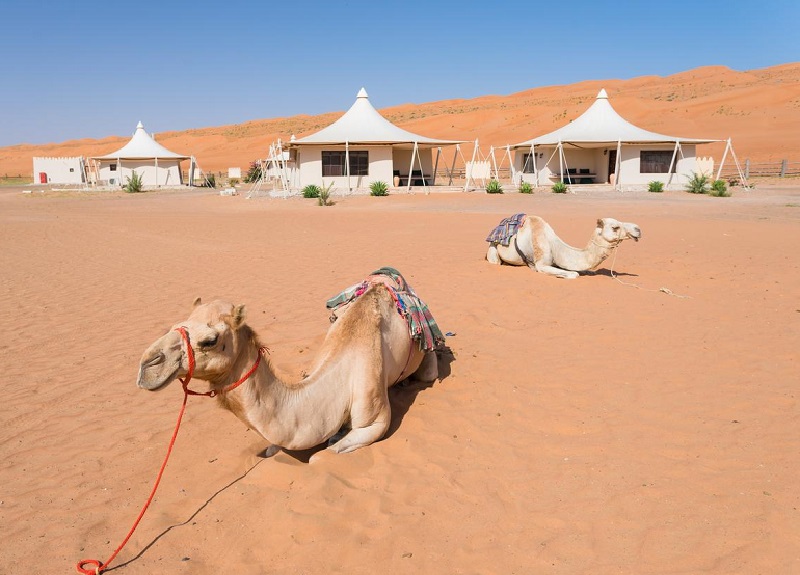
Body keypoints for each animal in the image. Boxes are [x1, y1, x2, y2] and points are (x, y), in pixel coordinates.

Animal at [484, 215, 640, 280]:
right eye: (615, 227)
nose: (638, 229)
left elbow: (585, 271)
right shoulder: (542, 264)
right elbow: (574, 274)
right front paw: (561, 275)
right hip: (492, 248)